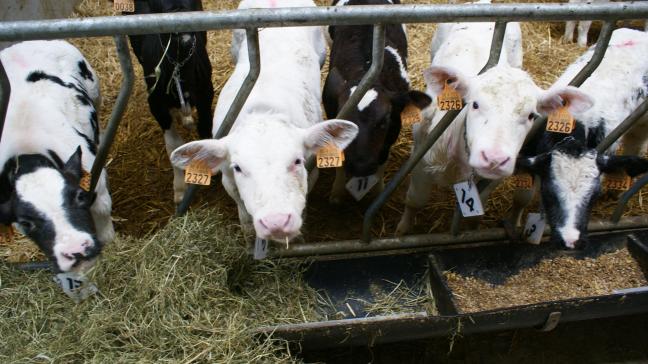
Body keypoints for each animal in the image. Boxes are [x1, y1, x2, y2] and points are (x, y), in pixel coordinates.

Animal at [0, 39, 114, 272]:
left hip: (94, 90)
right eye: (25, 222)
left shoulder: (97, 186)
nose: (76, 249)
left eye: (79, 196)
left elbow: (104, 220)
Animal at [128, 0, 214, 205]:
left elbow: (205, 130)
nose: (182, 33)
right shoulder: (156, 105)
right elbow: (173, 145)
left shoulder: (206, 93)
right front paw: (180, 189)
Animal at [170, 1, 356, 243]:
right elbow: (244, 216)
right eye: (238, 167)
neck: (263, 112)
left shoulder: (312, 171)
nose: (276, 222)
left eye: (297, 161)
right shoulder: (228, 180)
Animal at [322, 0, 430, 203]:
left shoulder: (390, 136)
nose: (361, 166)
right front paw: (337, 193)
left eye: (385, 120)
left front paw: (378, 192)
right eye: (344, 120)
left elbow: (381, 164)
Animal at [398, 15, 584, 235]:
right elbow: (415, 200)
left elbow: (478, 211)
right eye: (475, 104)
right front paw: (402, 230)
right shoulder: (422, 158)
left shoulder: (492, 180)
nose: (494, 159)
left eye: (531, 115)